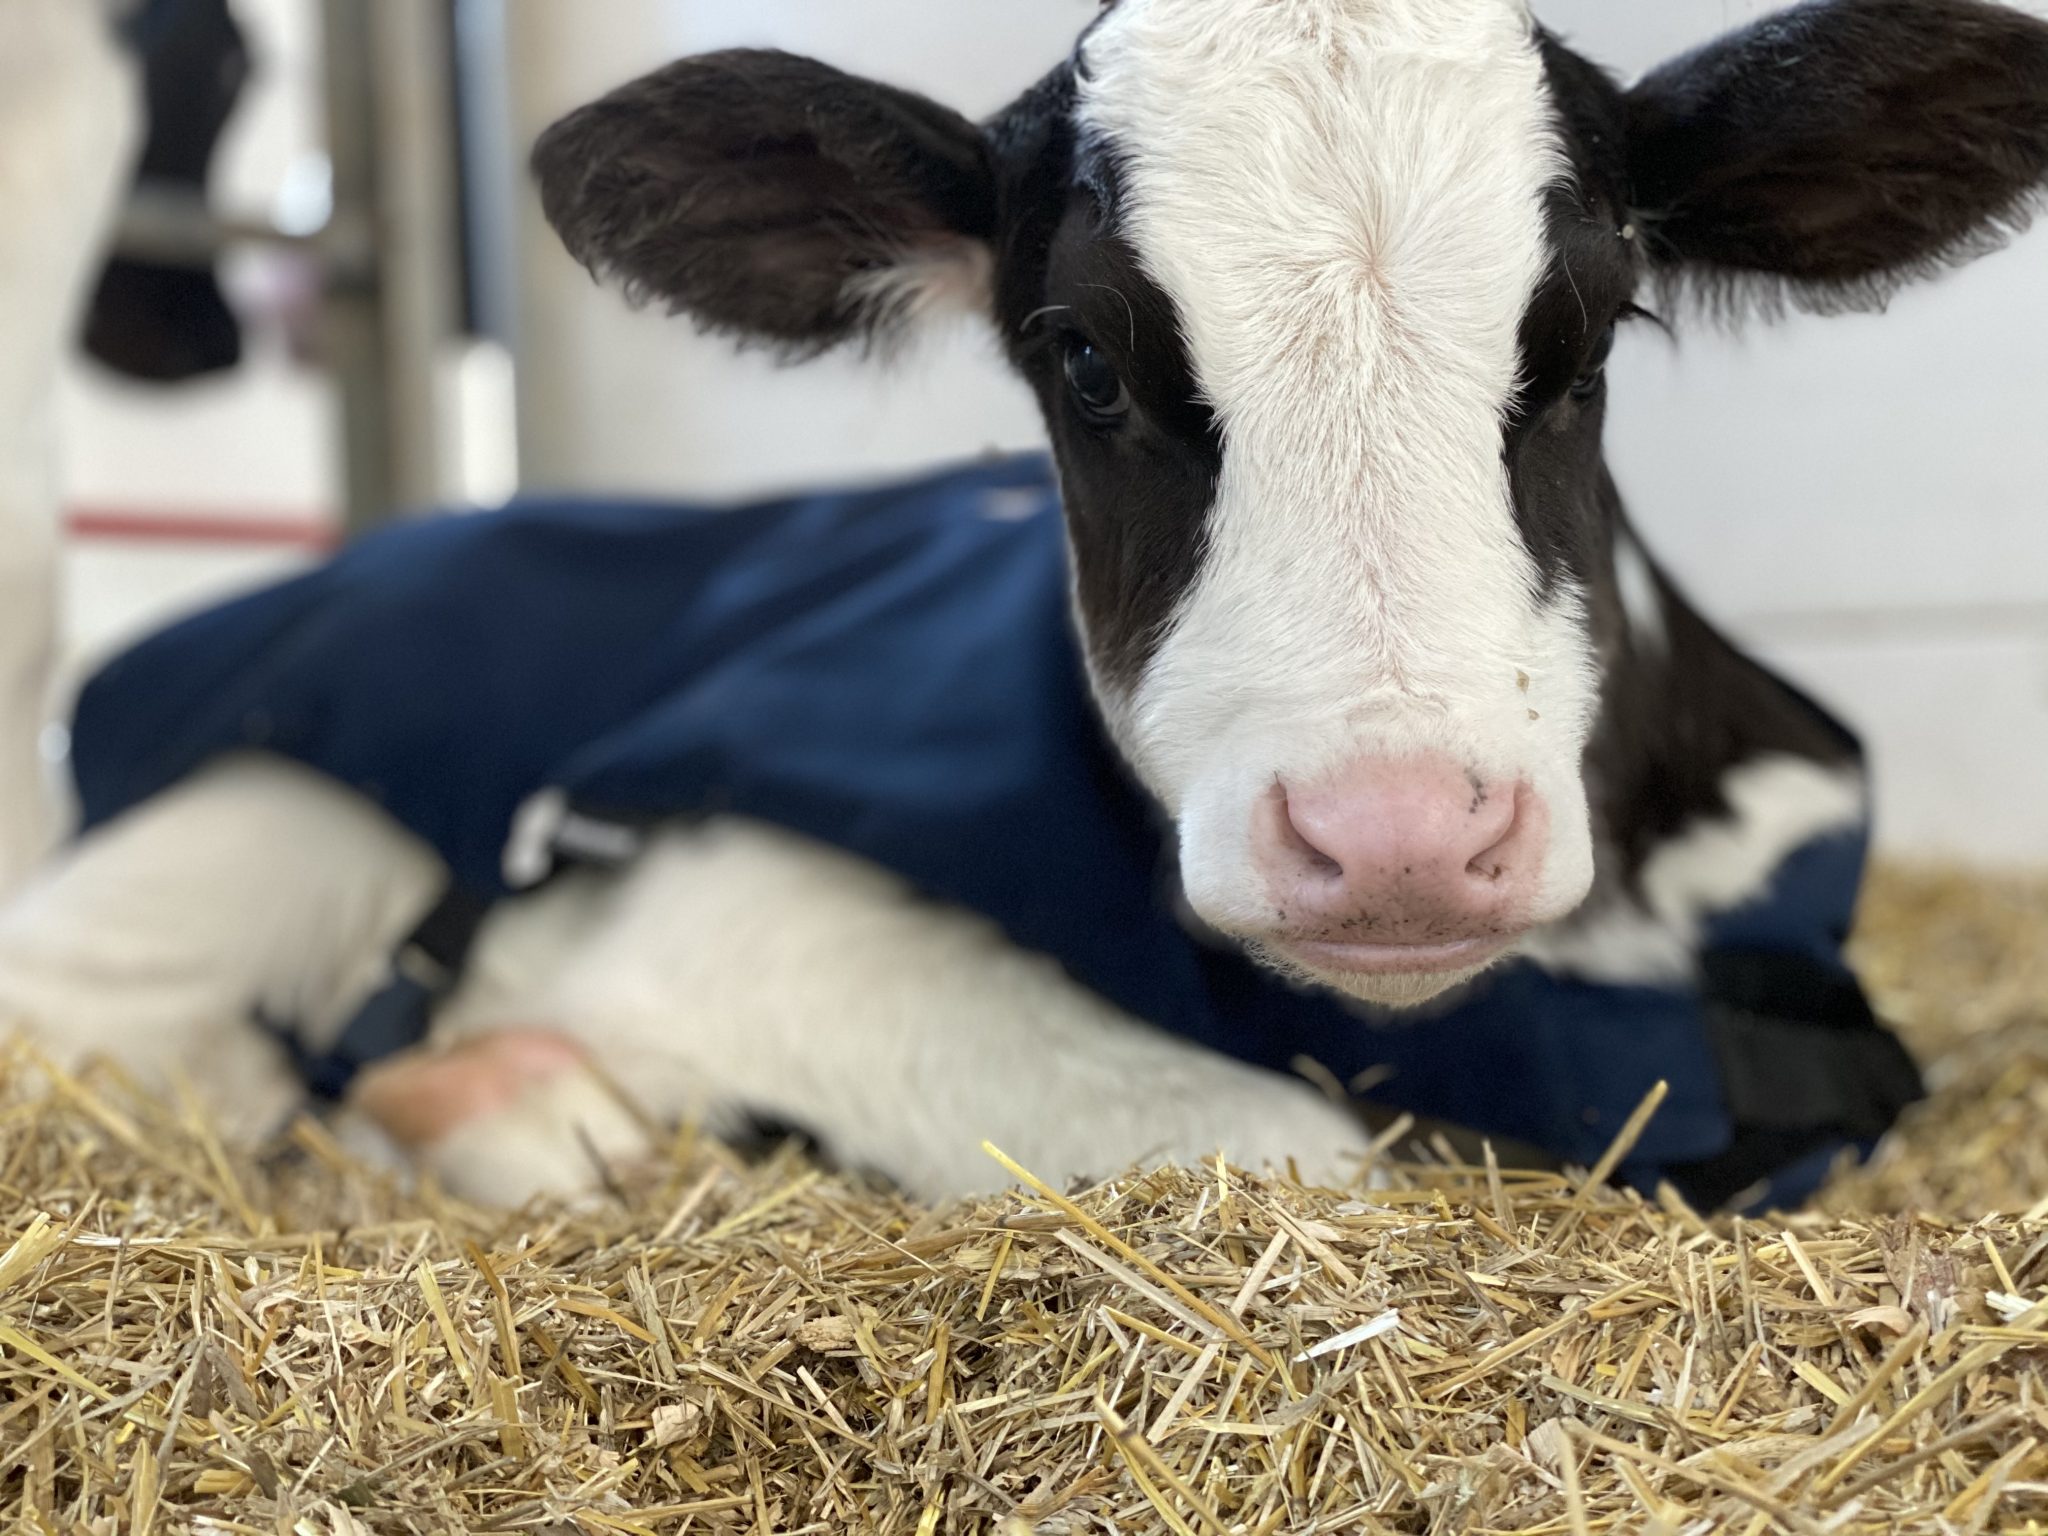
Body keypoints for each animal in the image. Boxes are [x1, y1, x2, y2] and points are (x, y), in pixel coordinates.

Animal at [2, 0, 2043, 1208]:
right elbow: (1291, 1153)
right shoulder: (734, 917)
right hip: (251, 833)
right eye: (1078, 356)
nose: (1392, 836)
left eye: (1596, 332)